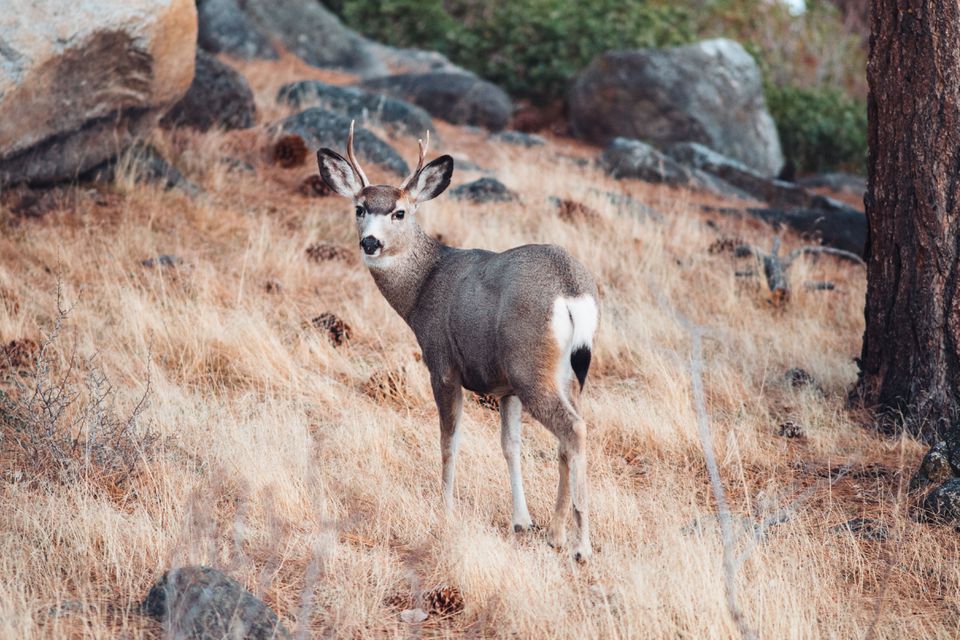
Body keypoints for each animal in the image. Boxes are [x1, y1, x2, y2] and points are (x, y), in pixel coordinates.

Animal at [316, 124, 600, 560]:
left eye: (400, 212)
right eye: (360, 208)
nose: (370, 243)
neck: (424, 286)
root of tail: (571, 290)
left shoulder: (442, 364)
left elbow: (449, 441)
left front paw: (445, 509)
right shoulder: (504, 387)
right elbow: (510, 445)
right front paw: (521, 521)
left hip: (530, 365)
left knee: (573, 429)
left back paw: (581, 547)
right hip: (564, 374)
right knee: (566, 439)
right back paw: (555, 533)